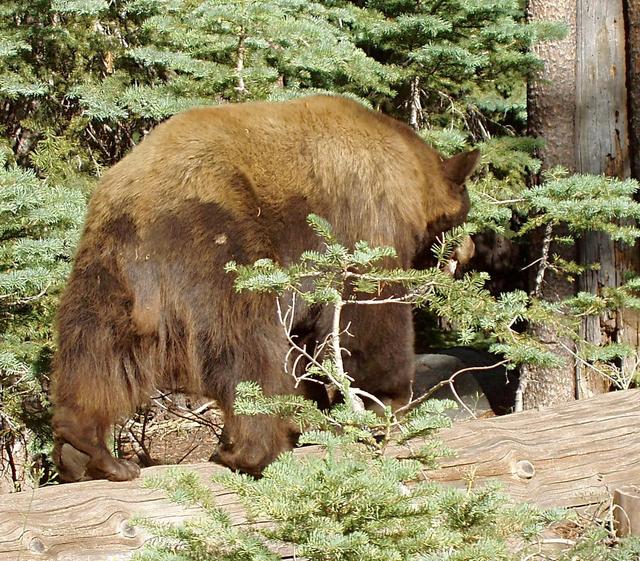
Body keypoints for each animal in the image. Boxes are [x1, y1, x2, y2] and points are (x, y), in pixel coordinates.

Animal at [50, 96, 478, 482]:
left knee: (93, 354)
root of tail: (139, 209)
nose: (470, 249)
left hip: (104, 274)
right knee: (248, 346)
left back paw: (89, 454)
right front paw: (384, 402)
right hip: (223, 250)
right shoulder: (366, 225)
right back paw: (255, 448)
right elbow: (369, 315)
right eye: (467, 213)